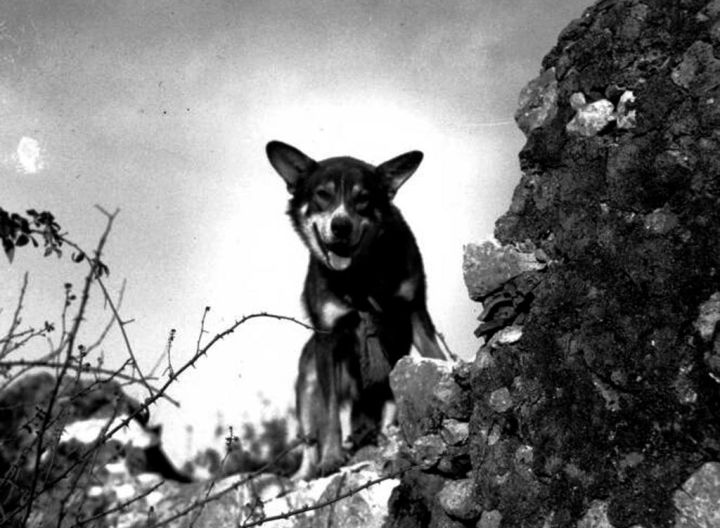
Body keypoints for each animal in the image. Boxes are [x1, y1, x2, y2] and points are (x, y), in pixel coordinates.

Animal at [266, 139, 444, 478]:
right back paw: (307, 472)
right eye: (322, 194)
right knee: (310, 440)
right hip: (307, 382)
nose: (341, 225)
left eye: (363, 199)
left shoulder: (414, 311)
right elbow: (330, 412)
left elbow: (435, 357)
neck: (360, 276)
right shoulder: (327, 336)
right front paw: (332, 458)